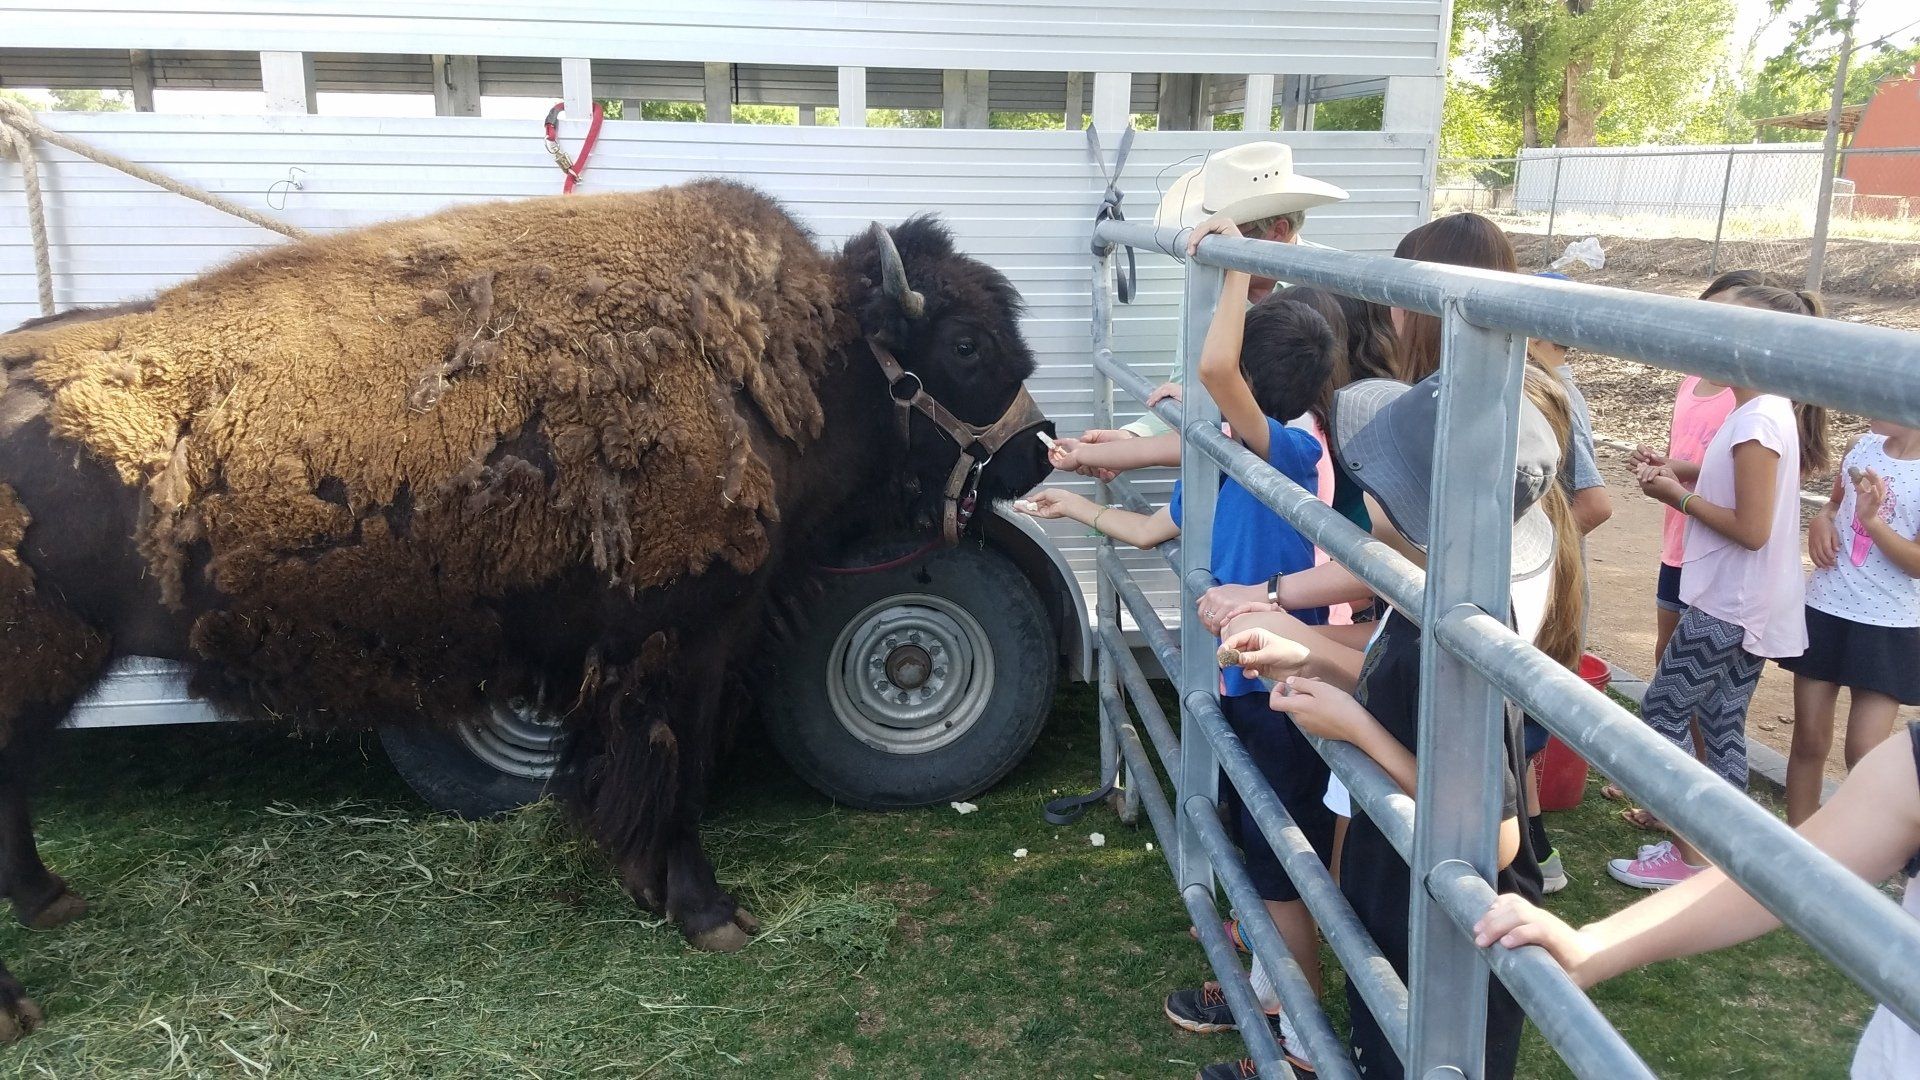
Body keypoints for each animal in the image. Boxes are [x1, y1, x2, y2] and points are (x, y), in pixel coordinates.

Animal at [0, 179, 1053, 1036]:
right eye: (965, 344)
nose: (1036, 455)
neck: (779, 363)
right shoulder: (682, 645)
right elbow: (672, 772)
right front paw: (711, 914)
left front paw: (646, 887)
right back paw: (21, 1000)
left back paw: (50, 901)